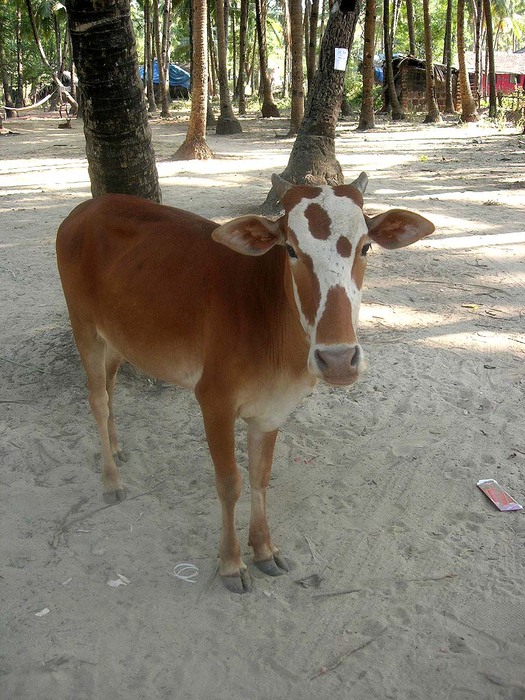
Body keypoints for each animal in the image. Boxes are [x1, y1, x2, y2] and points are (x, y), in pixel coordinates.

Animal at [56, 174, 434, 592]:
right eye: (290, 249)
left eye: (365, 246)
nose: (337, 359)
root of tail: (84, 209)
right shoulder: (213, 400)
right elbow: (229, 482)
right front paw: (231, 563)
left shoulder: (272, 410)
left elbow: (260, 476)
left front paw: (264, 549)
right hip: (83, 325)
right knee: (97, 398)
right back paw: (111, 481)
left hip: (120, 337)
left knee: (110, 386)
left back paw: (118, 448)